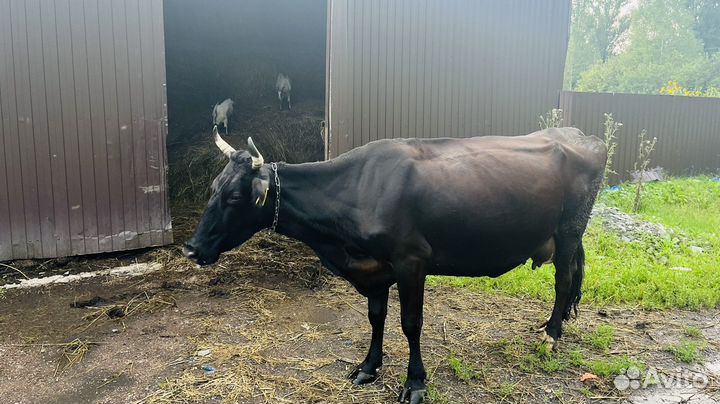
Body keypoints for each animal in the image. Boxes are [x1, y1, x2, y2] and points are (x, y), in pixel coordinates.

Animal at [183, 126, 607, 404]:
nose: (190, 249)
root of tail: (581, 135)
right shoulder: (375, 270)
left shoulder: (411, 261)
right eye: (213, 188)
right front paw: (368, 367)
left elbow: (410, 323)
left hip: (570, 230)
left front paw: (415, 383)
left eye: (235, 197)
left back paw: (551, 335)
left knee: (564, 281)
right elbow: (376, 318)